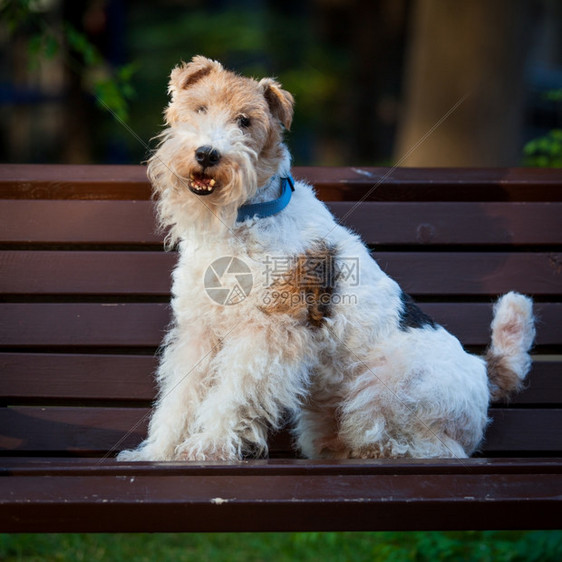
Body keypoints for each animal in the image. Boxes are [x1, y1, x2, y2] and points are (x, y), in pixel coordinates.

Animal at [118, 57, 532, 460]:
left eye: (245, 121)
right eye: (200, 107)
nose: (207, 154)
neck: (245, 218)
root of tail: (484, 371)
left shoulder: (265, 332)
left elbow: (232, 393)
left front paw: (207, 445)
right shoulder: (199, 331)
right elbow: (179, 398)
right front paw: (156, 451)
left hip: (383, 390)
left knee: (437, 447)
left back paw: (384, 450)